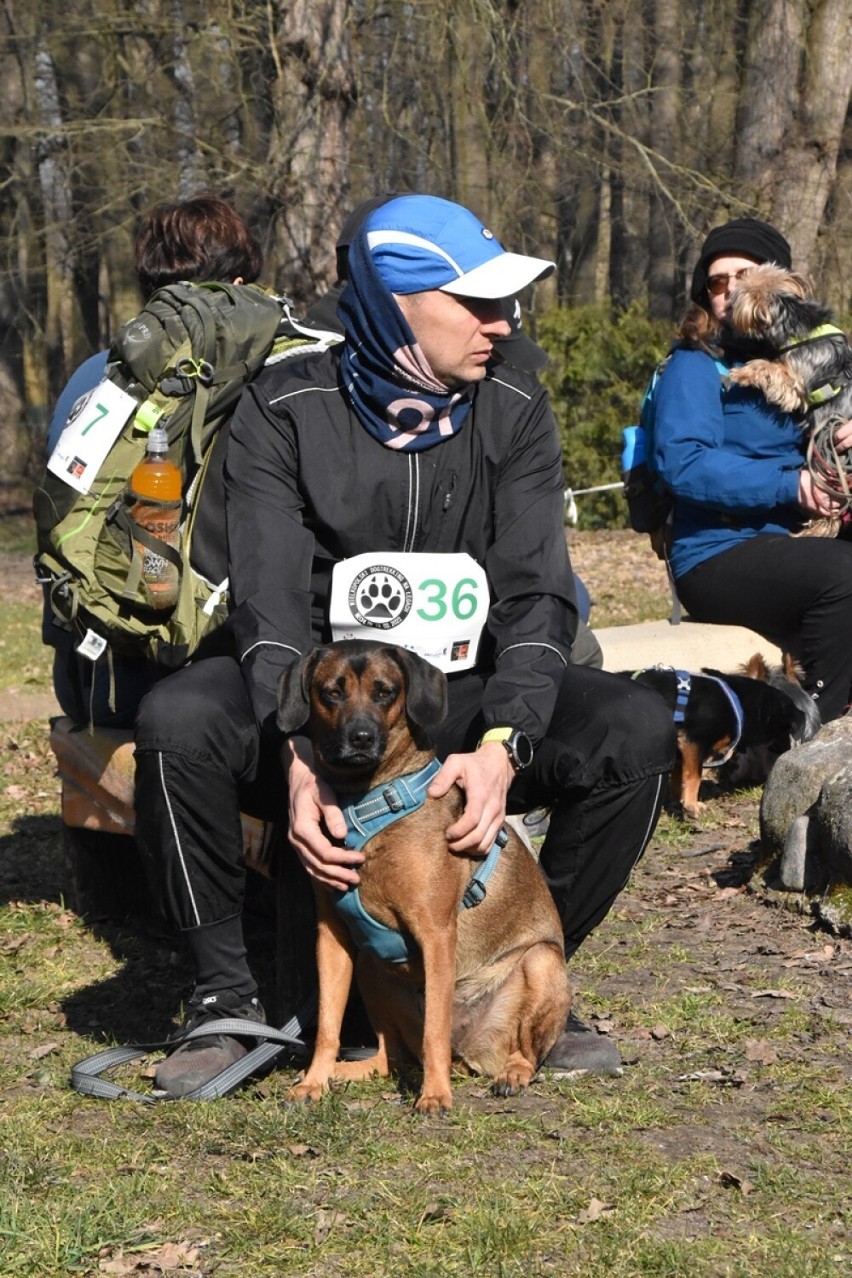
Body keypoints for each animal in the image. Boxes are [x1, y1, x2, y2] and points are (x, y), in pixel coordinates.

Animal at [278, 636, 572, 1109]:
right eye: (331, 692)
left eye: (385, 692)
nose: (361, 737)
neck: (364, 805)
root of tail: (466, 1053)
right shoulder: (332, 935)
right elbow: (326, 1025)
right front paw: (314, 1081)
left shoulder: (435, 931)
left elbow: (434, 1027)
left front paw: (434, 1096)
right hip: (371, 966)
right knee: (391, 1058)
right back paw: (344, 1072)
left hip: (541, 963)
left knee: (519, 1051)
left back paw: (510, 1073)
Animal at [623, 649, 822, 817]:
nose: (783, 748)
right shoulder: (693, 742)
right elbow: (692, 774)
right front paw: (688, 804)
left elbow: (684, 775)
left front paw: (682, 803)